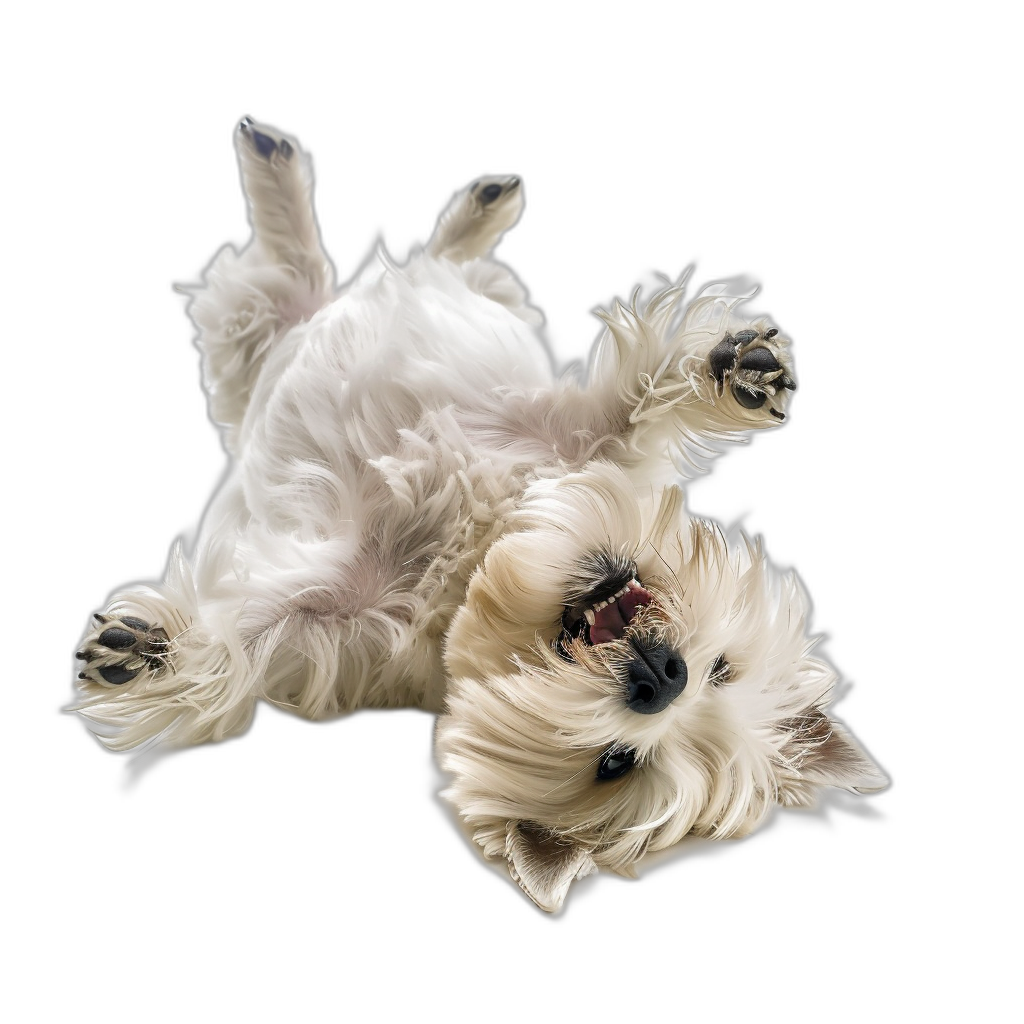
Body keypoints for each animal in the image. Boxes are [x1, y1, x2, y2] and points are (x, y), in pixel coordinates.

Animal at [70, 116, 888, 917]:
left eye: (615, 763)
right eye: (722, 669)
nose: (663, 675)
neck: (477, 544)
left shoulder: (336, 631)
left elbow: (246, 645)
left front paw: (152, 655)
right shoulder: (570, 436)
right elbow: (643, 394)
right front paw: (737, 371)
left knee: (316, 275)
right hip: (309, 328)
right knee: (341, 272)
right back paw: (417, 192)